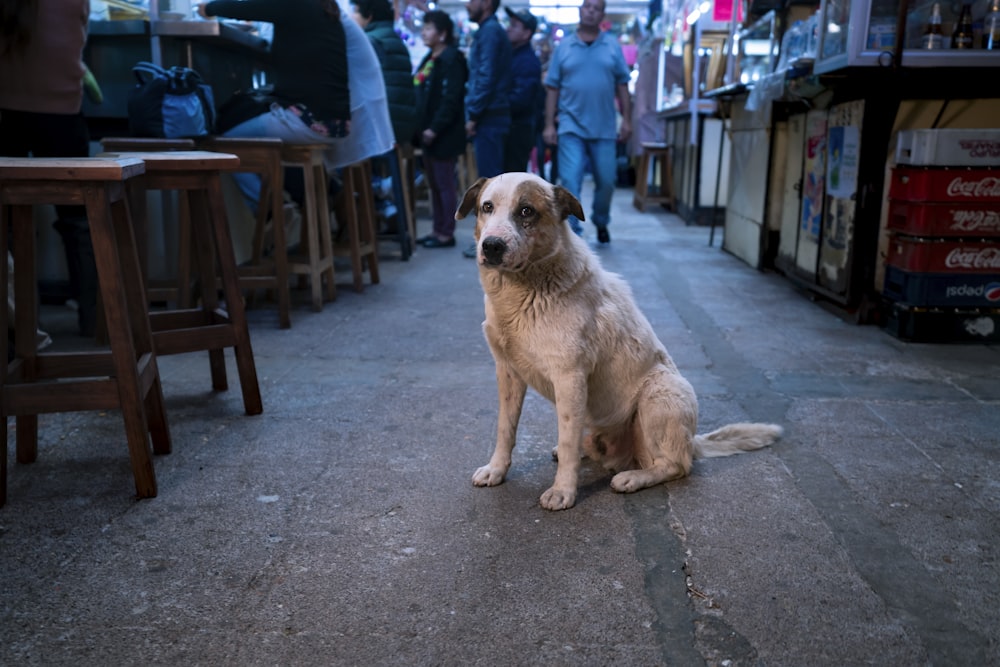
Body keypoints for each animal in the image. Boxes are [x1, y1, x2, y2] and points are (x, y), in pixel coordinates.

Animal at [456, 172, 780, 512]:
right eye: (487, 207)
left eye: (526, 211)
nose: (491, 246)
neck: (521, 291)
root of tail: (692, 442)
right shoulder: (508, 371)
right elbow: (505, 429)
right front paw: (496, 470)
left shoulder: (570, 377)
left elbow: (568, 442)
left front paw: (563, 490)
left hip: (659, 395)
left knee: (675, 465)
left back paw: (633, 477)